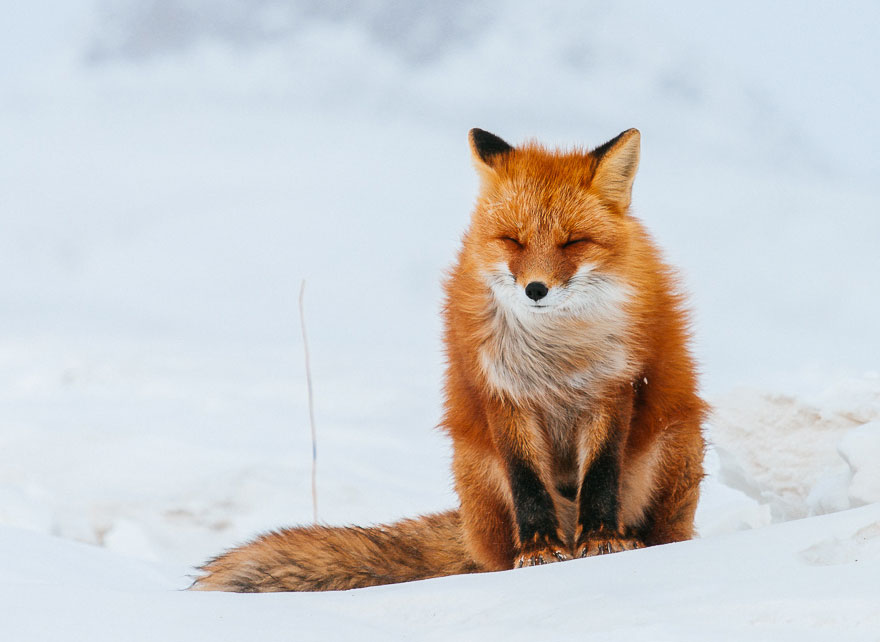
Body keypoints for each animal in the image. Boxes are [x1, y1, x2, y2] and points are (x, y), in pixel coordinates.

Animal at [192, 128, 707, 592]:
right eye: (513, 241)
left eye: (573, 242)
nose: (535, 289)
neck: (555, 354)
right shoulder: (501, 393)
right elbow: (527, 483)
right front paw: (539, 551)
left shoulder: (612, 387)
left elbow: (600, 474)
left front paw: (600, 541)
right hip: (475, 468)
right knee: (496, 556)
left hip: (672, 446)